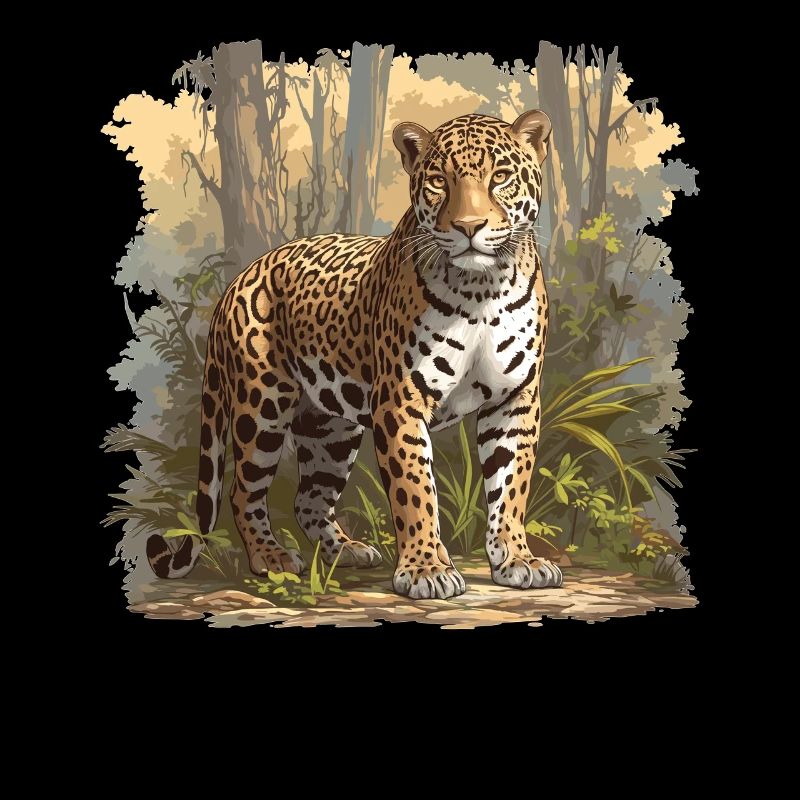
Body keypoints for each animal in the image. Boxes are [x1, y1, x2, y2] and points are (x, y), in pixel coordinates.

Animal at [146, 110, 563, 599]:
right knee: (242, 492)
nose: (469, 226)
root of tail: (241, 277)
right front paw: (426, 569)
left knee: (308, 498)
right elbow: (415, 490)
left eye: (500, 177)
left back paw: (345, 550)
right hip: (261, 406)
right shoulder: (401, 400)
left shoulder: (515, 399)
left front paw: (517, 559)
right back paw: (271, 559)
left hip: (330, 425)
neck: (481, 289)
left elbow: (511, 486)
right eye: (439, 181)